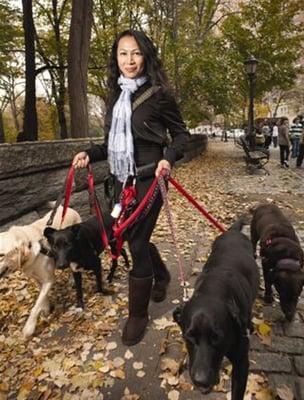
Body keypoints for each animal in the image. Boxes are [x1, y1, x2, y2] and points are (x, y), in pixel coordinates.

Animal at [0, 206, 82, 338]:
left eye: (1, 255)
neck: (31, 246)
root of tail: (67, 207)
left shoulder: (49, 280)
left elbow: (35, 307)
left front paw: (29, 328)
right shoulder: (37, 279)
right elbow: (42, 298)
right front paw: (47, 308)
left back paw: (72, 280)